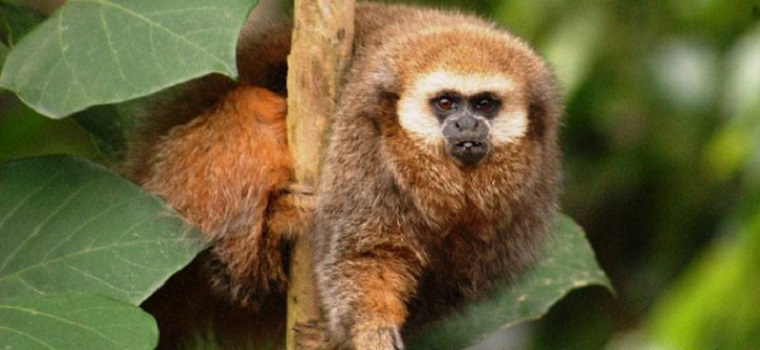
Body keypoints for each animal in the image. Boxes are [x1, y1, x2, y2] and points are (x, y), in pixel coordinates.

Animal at [123, 2, 560, 350]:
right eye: (446, 103)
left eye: (485, 104)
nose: (466, 126)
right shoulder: (360, 141)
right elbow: (362, 253)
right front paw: (370, 328)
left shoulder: (525, 200)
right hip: (173, 184)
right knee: (254, 105)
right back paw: (257, 253)